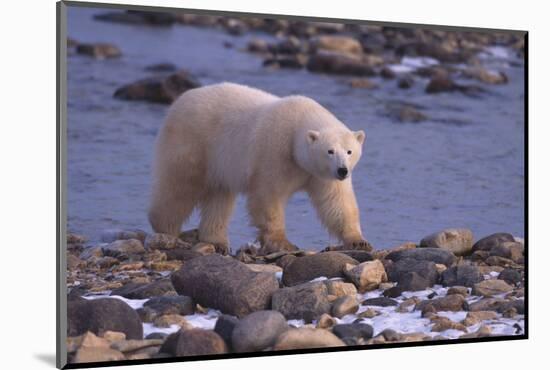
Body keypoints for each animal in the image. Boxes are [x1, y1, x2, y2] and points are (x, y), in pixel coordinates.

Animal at [149, 82, 370, 254]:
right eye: (330, 151)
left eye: (349, 151)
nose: (342, 171)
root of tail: (179, 101)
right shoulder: (274, 152)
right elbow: (268, 196)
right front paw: (283, 243)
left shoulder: (320, 174)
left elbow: (337, 202)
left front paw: (358, 241)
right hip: (193, 143)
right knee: (180, 187)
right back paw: (166, 229)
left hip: (219, 162)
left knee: (219, 197)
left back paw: (216, 240)